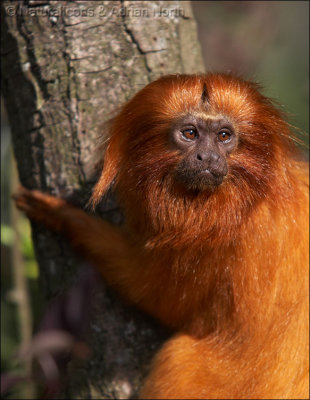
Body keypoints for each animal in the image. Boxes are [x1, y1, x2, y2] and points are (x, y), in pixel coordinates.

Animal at [13, 73, 308, 398]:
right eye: (190, 133)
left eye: (223, 136)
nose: (207, 157)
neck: (254, 192)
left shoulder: (214, 237)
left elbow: (158, 296)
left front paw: (67, 219)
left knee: (178, 356)